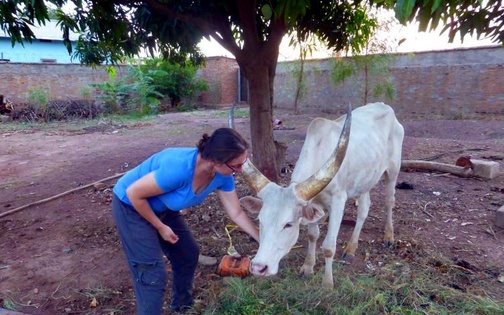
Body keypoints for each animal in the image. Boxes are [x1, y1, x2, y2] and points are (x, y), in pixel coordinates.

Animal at [240, 102, 406, 288]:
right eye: (260, 221)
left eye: (288, 224)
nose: (258, 267)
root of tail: (385, 106)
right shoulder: (312, 205)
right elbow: (313, 235)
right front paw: (307, 267)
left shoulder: (338, 202)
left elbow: (328, 247)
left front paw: (327, 282)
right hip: (365, 180)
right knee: (364, 209)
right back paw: (351, 248)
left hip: (393, 170)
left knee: (389, 201)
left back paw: (389, 236)